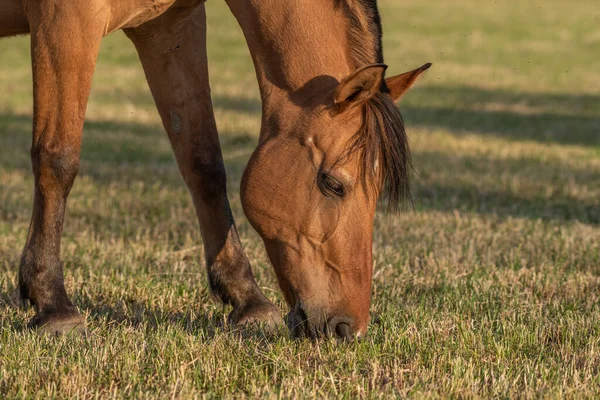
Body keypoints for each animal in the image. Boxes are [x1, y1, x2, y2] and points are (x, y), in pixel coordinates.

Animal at [1, 0, 432, 340]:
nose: (349, 328)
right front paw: (53, 304)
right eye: (333, 184)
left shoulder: (169, 28)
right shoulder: (66, 20)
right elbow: (58, 160)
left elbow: (204, 164)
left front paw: (248, 301)